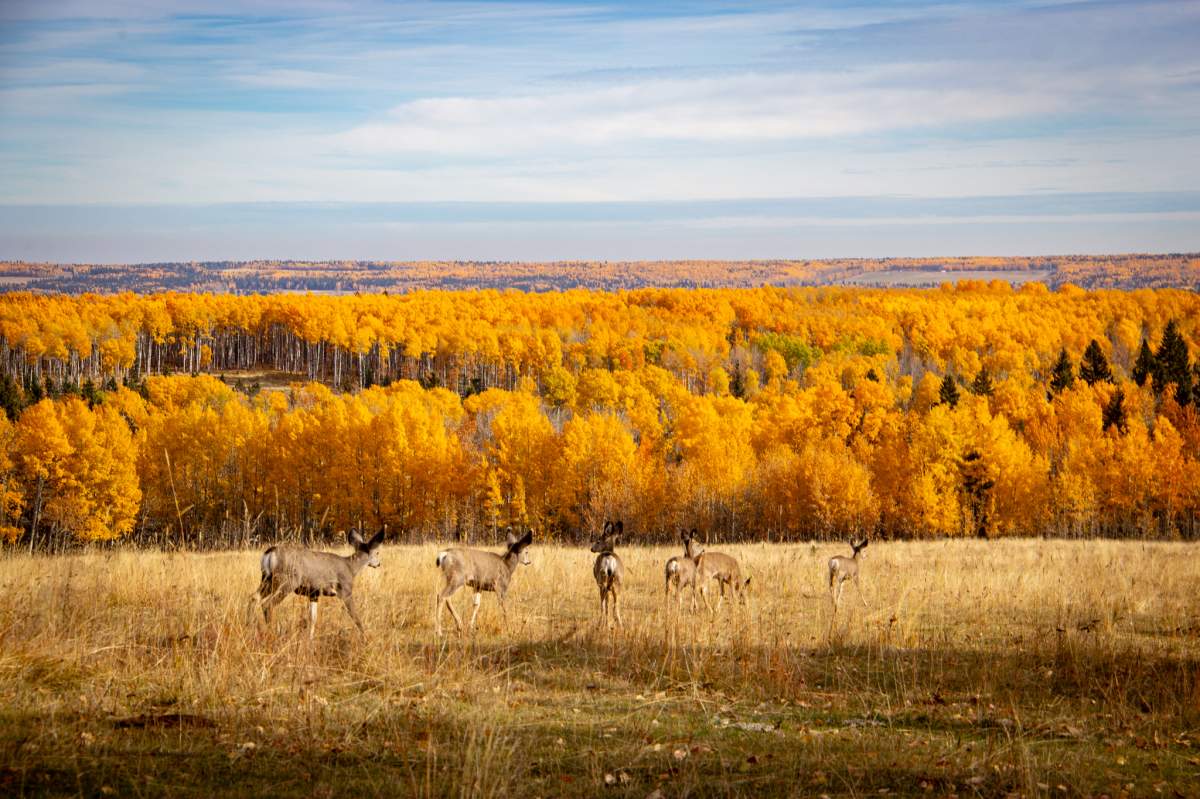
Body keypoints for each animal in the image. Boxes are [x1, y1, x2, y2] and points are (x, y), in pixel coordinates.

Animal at [252, 526, 385, 638]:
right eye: (377, 552)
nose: (378, 564)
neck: (351, 567)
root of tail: (270, 552)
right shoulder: (345, 590)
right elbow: (355, 616)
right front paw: (365, 637)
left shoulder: (314, 593)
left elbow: (312, 618)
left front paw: (310, 639)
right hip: (286, 581)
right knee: (267, 604)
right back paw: (273, 632)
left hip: (266, 578)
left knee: (254, 597)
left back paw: (250, 625)